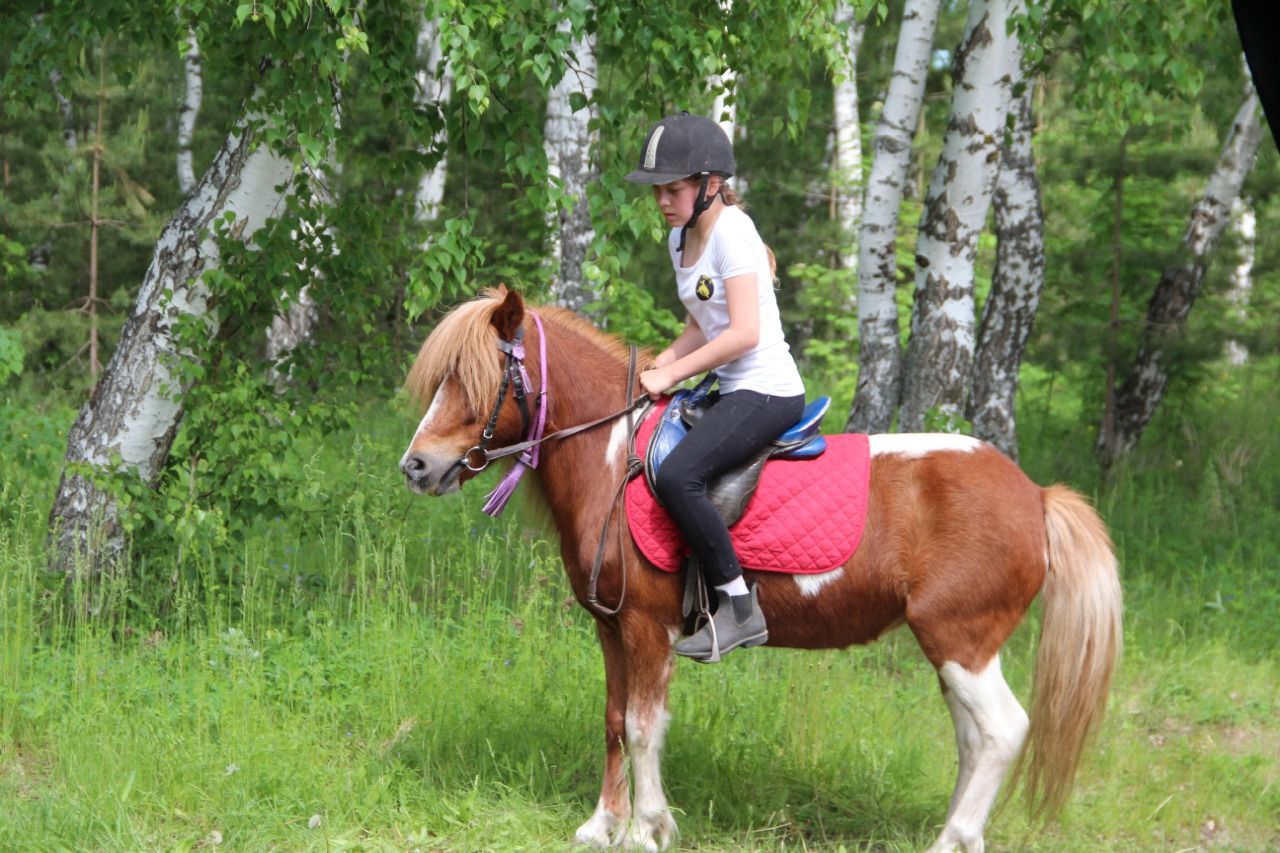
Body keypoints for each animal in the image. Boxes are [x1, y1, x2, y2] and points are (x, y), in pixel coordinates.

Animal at [399, 286, 1121, 850]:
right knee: (975, 741)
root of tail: (1035, 495)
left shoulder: (648, 629)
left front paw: (647, 827)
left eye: (477, 377)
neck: (612, 458)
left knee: (1001, 731)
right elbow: (611, 720)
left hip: (962, 639)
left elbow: (642, 728)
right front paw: (602, 825)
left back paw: (951, 838)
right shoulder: (611, 628)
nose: (416, 465)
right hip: (956, 649)